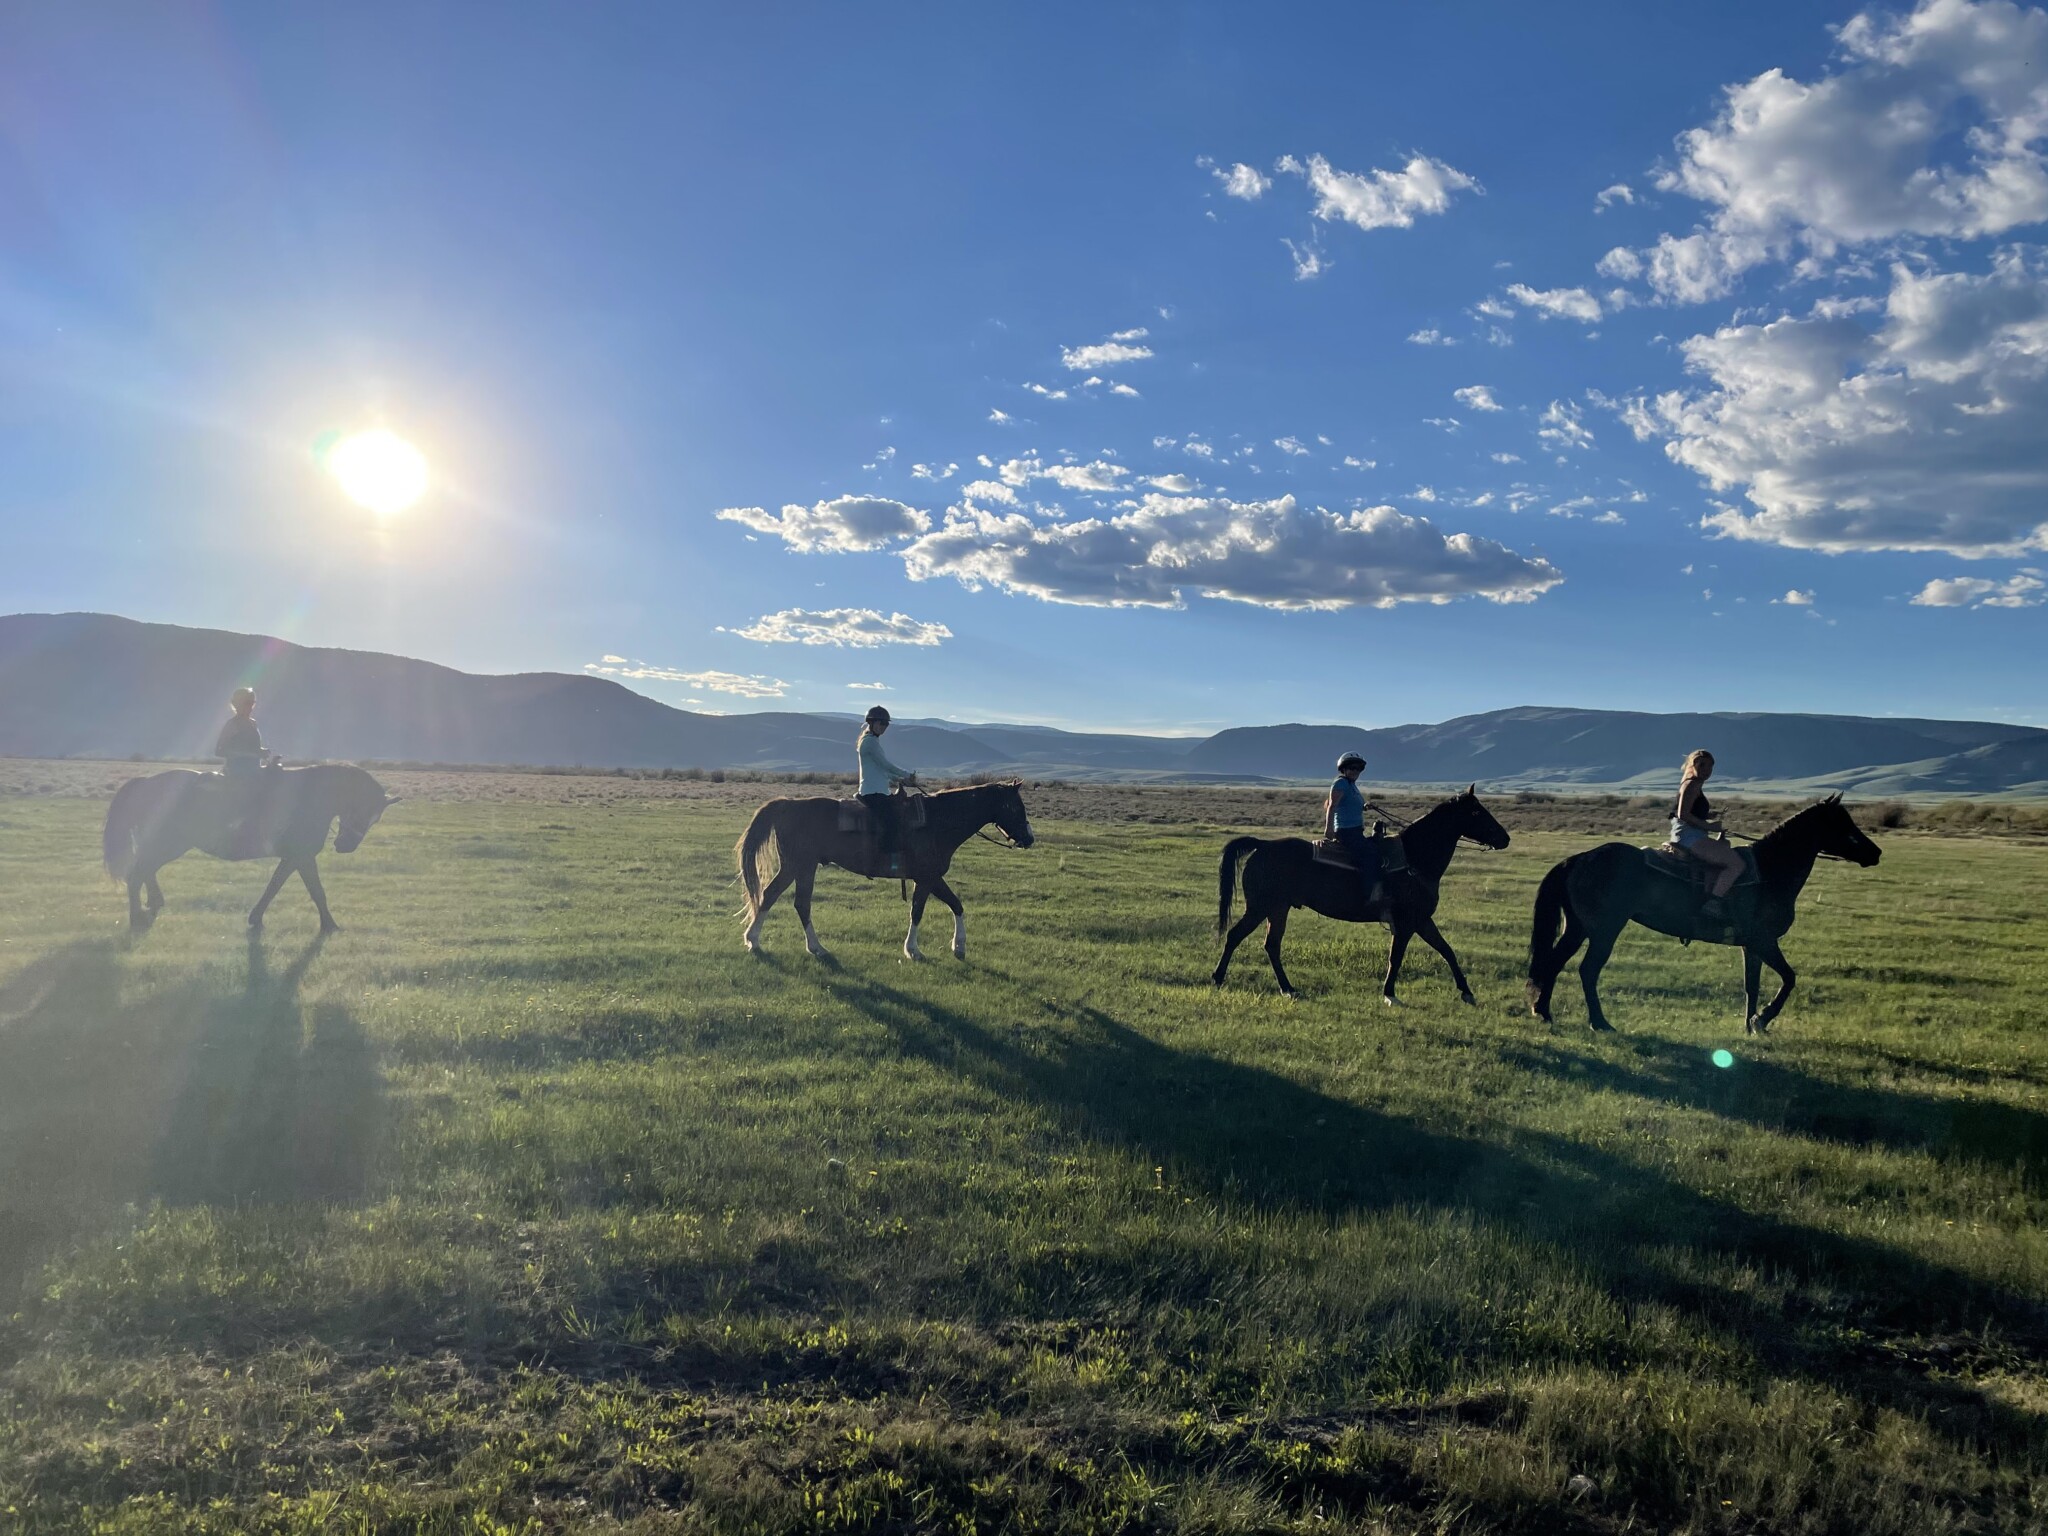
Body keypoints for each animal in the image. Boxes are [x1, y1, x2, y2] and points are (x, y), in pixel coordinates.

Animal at [733, 782, 1032, 962]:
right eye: (1016, 806)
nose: (1029, 838)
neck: (938, 822)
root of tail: (789, 804)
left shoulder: (931, 878)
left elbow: (956, 905)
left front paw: (958, 946)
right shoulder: (927, 878)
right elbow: (918, 911)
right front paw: (913, 950)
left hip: (797, 867)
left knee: (775, 897)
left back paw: (757, 941)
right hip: (802, 866)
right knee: (796, 902)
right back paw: (809, 946)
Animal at [1204, 786, 1515, 1003]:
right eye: (1476, 812)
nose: (1504, 838)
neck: (1414, 859)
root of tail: (1263, 845)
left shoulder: (1422, 920)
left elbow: (1447, 950)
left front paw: (1467, 992)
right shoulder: (1406, 923)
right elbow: (1396, 957)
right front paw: (1390, 994)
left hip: (1277, 909)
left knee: (1270, 945)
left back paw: (1287, 988)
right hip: (1263, 907)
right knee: (1238, 936)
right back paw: (1220, 979)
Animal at [1531, 794, 1875, 1036]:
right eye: (1842, 823)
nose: (1876, 852)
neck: (1769, 871)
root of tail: (1579, 858)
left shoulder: (1751, 946)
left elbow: (1752, 985)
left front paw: (1750, 1026)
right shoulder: (1764, 941)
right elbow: (1789, 978)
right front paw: (1763, 1019)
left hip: (1578, 928)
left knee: (1554, 963)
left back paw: (1543, 1012)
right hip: (1604, 931)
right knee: (1588, 970)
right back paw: (1600, 1022)